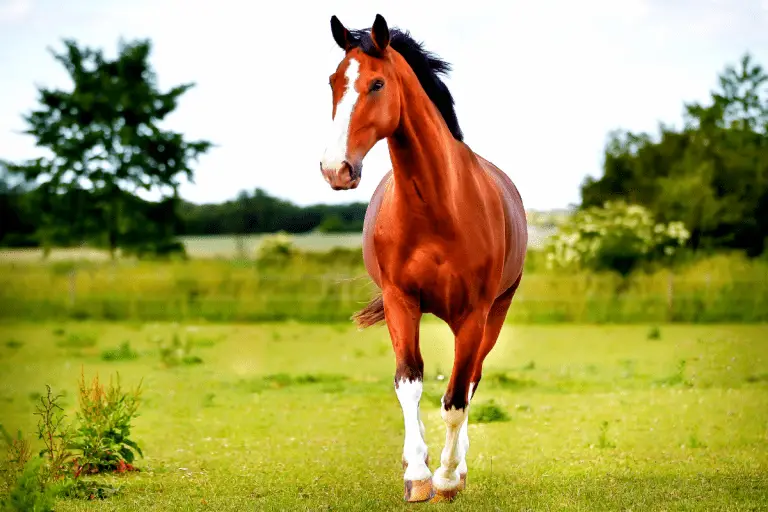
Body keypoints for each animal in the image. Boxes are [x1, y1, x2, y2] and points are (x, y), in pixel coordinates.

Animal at [319, 14, 528, 502]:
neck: (436, 207)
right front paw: (417, 473)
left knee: (471, 380)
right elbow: (409, 383)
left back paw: (458, 467)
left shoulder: (475, 312)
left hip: (492, 314)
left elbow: (455, 399)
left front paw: (447, 478)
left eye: (377, 83)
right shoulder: (401, 300)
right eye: (334, 82)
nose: (336, 169)